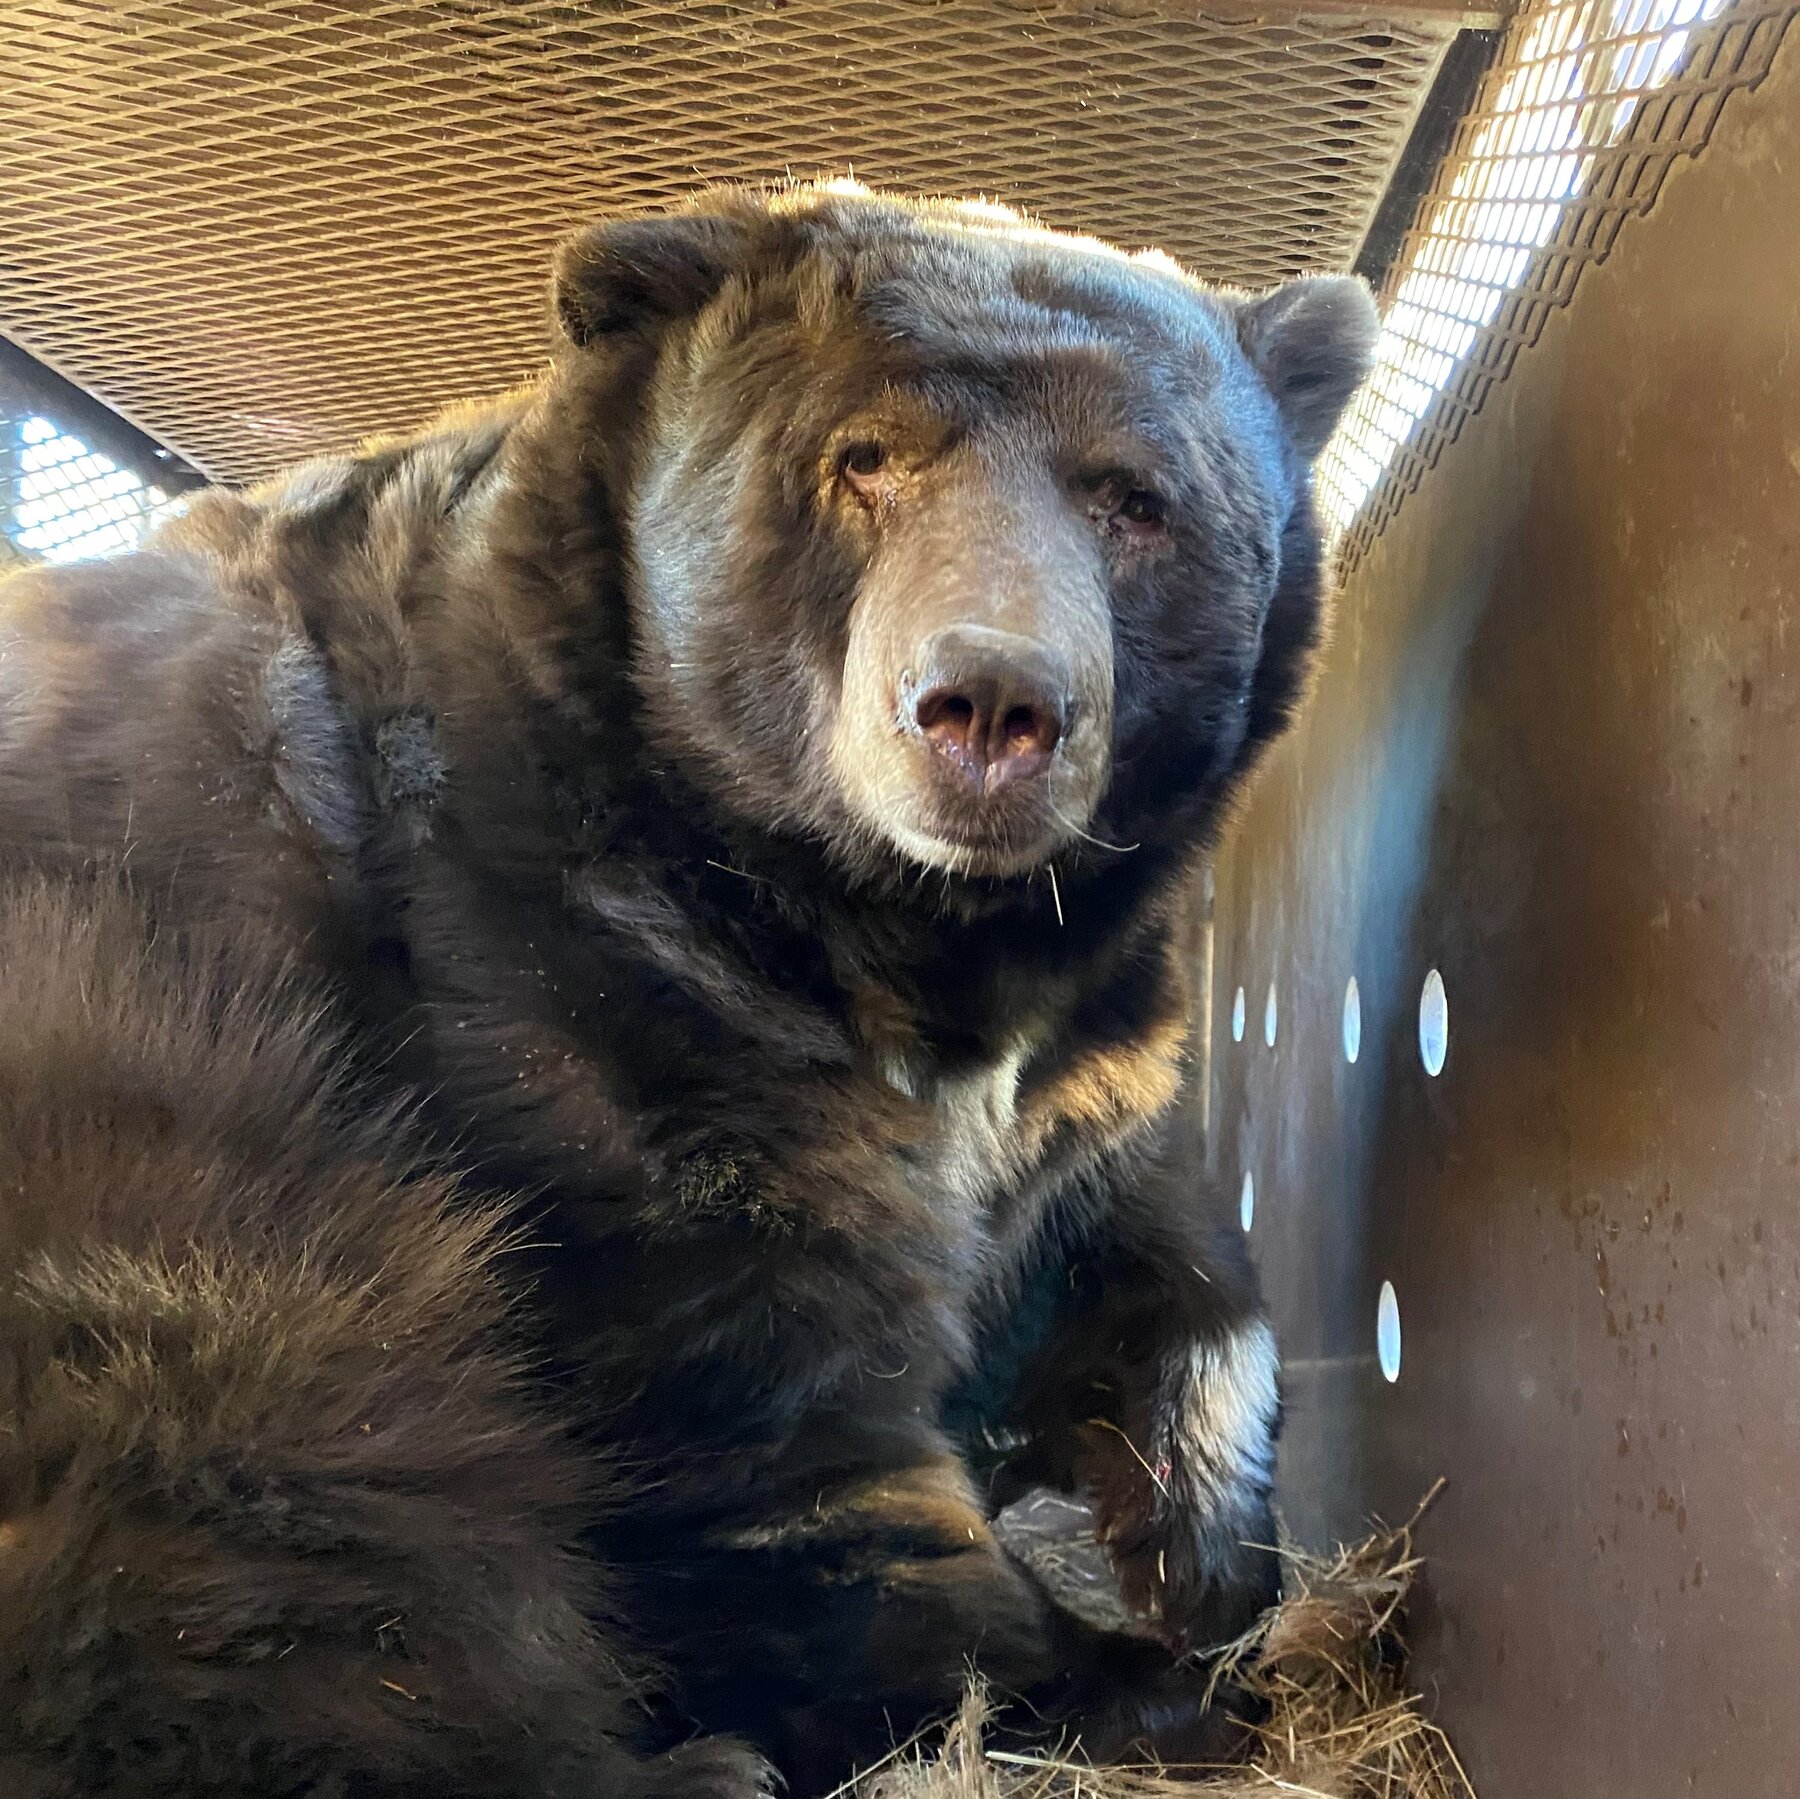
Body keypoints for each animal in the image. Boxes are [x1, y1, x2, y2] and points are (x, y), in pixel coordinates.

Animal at [0, 186, 1368, 1799]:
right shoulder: (587, 1011)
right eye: (864, 457)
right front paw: (1129, 1675)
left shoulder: (1085, 1058)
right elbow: (777, 1462)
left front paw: (1200, 1546)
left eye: (1136, 498)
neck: (899, 938)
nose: (991, 704)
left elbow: (1148, 1241)